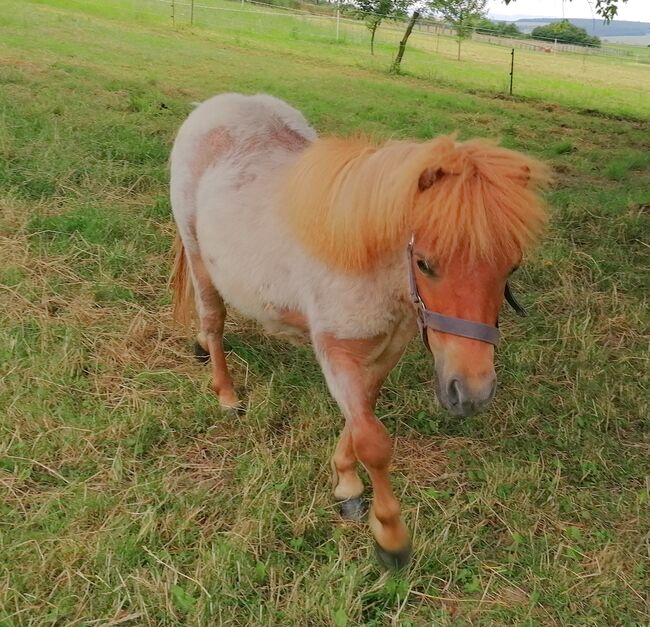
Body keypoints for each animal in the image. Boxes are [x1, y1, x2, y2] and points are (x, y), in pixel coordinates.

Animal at [168, 93, 548, 568]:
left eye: (511, 267)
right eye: (424, 263)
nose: (472, 393)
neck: (369, 265)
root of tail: (214, 106)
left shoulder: (387, 350)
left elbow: (362, 413)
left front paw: (345, 480)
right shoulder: (337, 354)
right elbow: (373, 441)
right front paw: (389, 536)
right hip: (198, 254)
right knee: (214, 319)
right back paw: (226, 394)